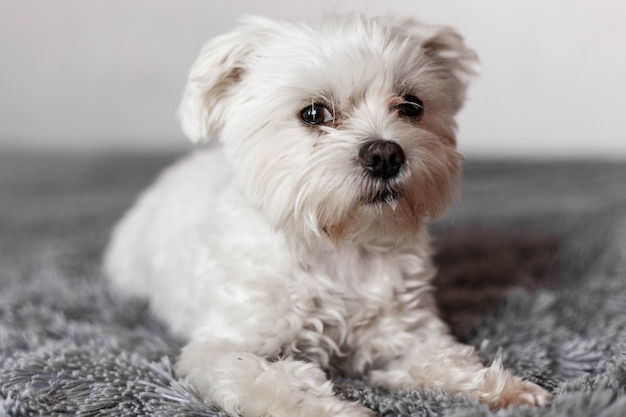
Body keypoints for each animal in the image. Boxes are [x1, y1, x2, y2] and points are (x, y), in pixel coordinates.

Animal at [105, 13, 548, 416]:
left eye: (411, 106)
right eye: (314, 113)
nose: (385, 154)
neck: (338, 245)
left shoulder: (405, 336)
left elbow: (445, 360)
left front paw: (505, 389)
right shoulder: (222, 349)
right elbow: (275, 385)